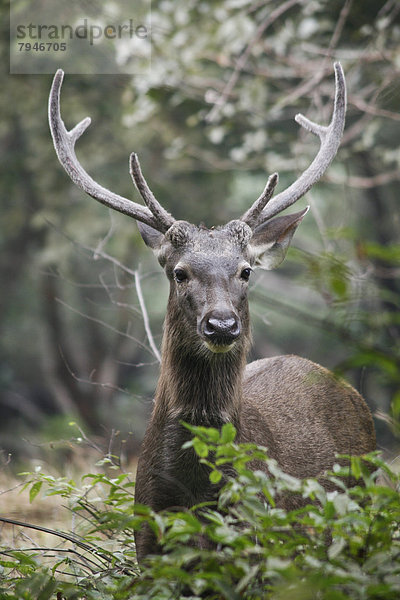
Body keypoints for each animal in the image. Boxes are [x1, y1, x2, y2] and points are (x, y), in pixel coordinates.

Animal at [48, 63, 376, 560]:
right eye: (179, 272)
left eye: (245, 271)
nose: (221, 324)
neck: (198, 492)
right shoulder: (148, 539)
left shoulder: (259, 535)